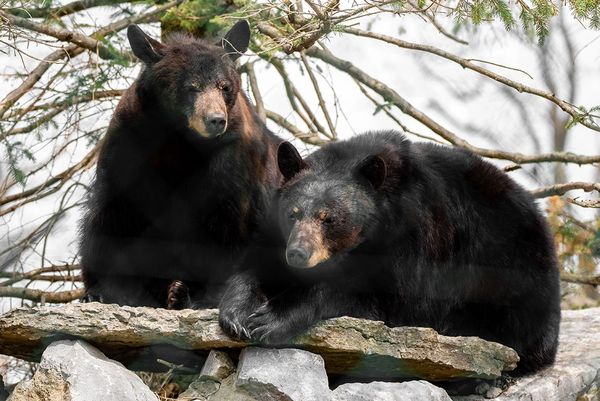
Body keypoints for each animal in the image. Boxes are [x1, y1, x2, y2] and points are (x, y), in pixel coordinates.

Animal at [79, 21, 282, 306]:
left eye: (224, 86)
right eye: (192, 86)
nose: (215, 119)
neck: (180, 141)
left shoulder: (235, 160)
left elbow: (228, 222)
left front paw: (209, 296)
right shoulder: (129, 144)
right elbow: (113, 214)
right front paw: (104, 289)